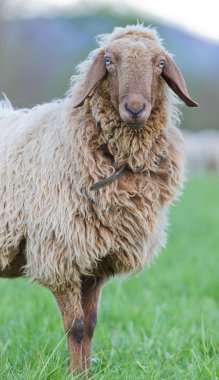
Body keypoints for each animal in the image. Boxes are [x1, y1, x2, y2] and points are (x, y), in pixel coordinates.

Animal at [0, 24, 198, 378]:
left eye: (160, 63)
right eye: (108, 60)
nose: (135, 108)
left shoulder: (96, 262)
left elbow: (91, 324)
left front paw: (87, 373)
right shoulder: (61, 255)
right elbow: (76, 326)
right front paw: (74, 374)